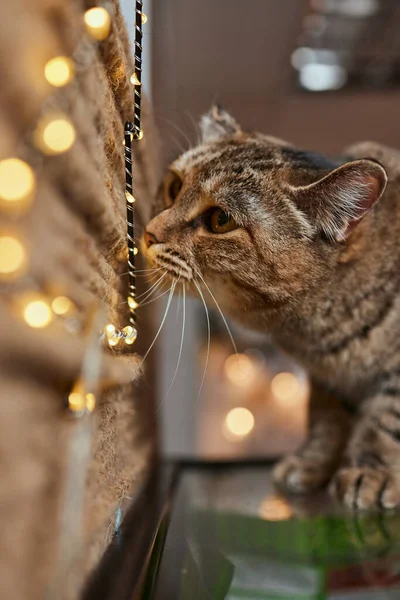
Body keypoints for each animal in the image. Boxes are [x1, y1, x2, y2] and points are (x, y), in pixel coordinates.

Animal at [144, 105, 400, 508]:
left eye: (220, 220)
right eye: (173, 186)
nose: (149, 233)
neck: (314, 337)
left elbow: (385, 421)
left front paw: (370, 470)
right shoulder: (324, 381)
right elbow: (325, 419)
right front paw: (313, 463)